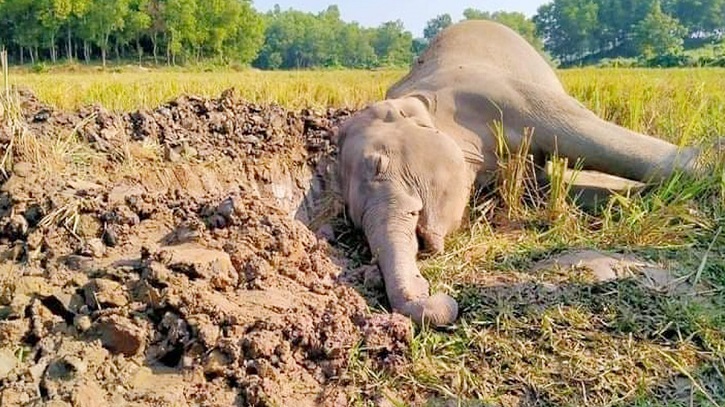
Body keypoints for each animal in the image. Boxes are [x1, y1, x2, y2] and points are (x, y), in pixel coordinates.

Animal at [338, 20, 712, 330]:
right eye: (353, 220)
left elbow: (583, 134)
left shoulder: (500, 92)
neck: (421, 99)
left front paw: (705, 169)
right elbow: (543, 186)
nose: (435, 296)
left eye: (379, 166)